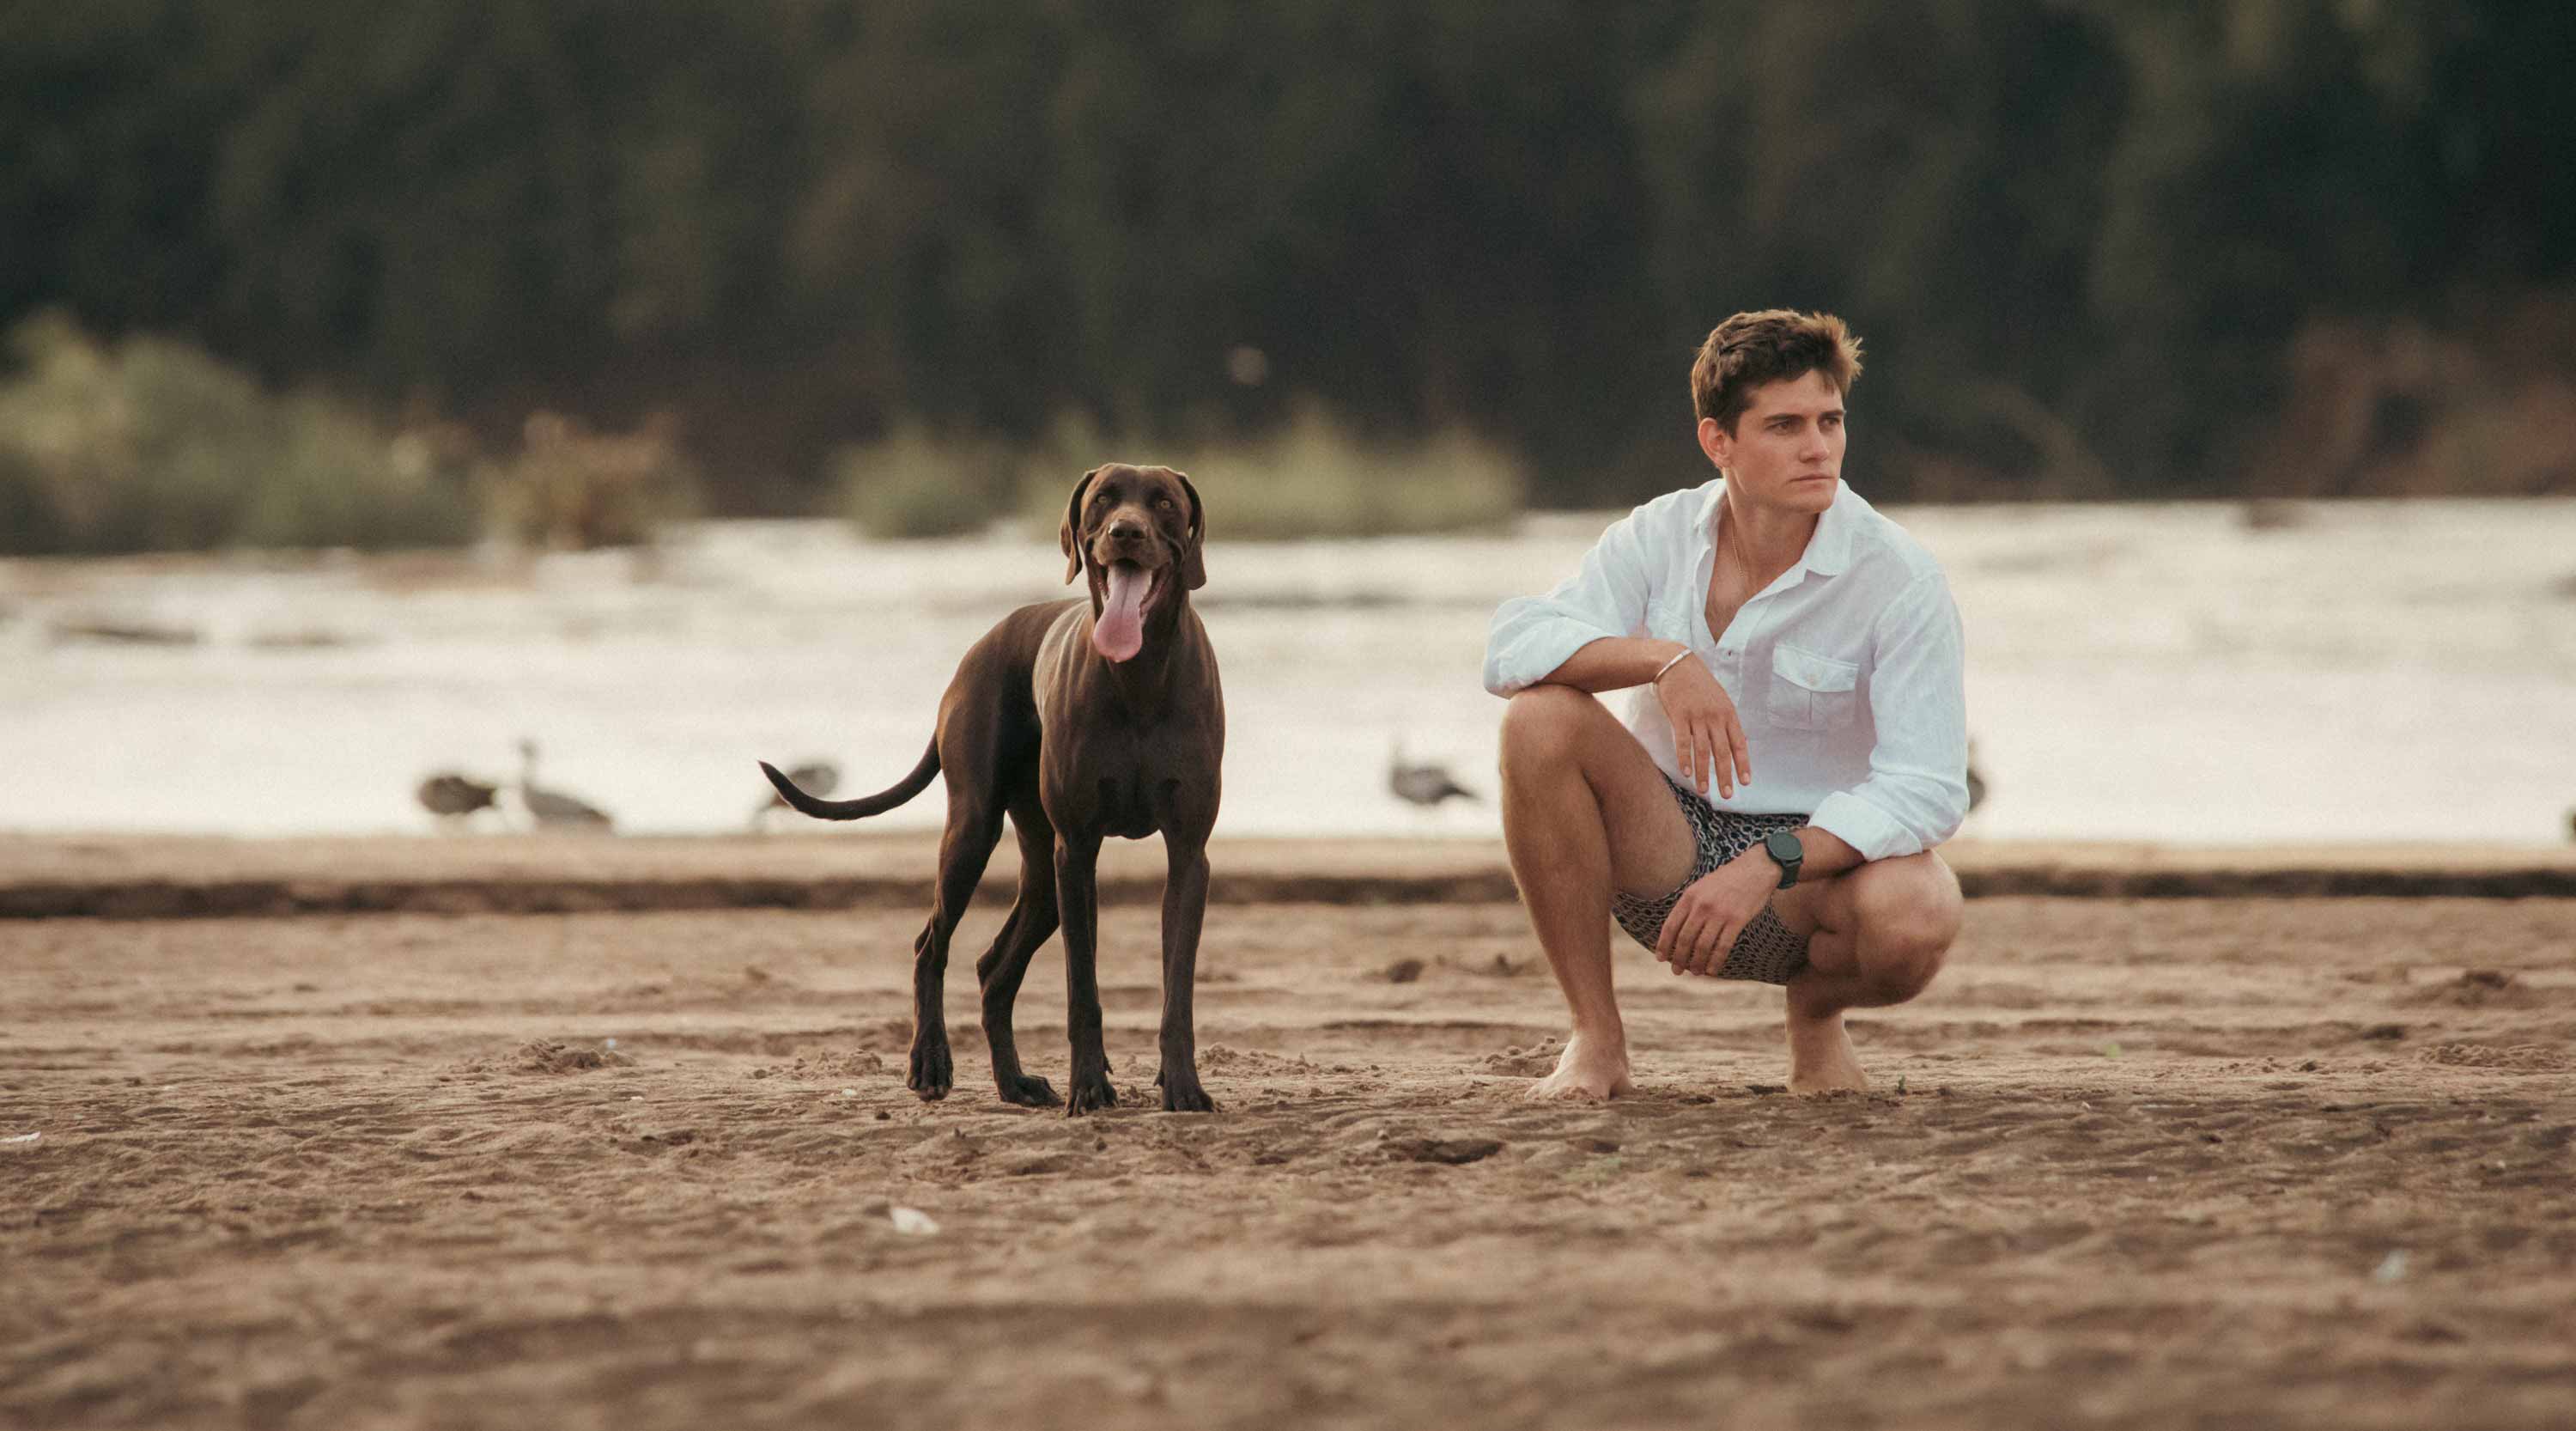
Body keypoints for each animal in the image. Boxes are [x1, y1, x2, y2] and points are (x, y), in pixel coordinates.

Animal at [757, 464, 1221, 1113]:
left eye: (1164, 503)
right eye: (1104, 499)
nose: (1125, 532)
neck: (1139, 676)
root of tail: (979, 645)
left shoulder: (1187, 853)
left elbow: (1177, 985)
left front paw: (1182, 1086)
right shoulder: (1078, 851)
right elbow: (1083, 989)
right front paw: (1089, 1087)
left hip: (1042, 877)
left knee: (992, 969)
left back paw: (1015, 1083)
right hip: (975, 831)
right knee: (932, 945)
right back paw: (931, 1063)